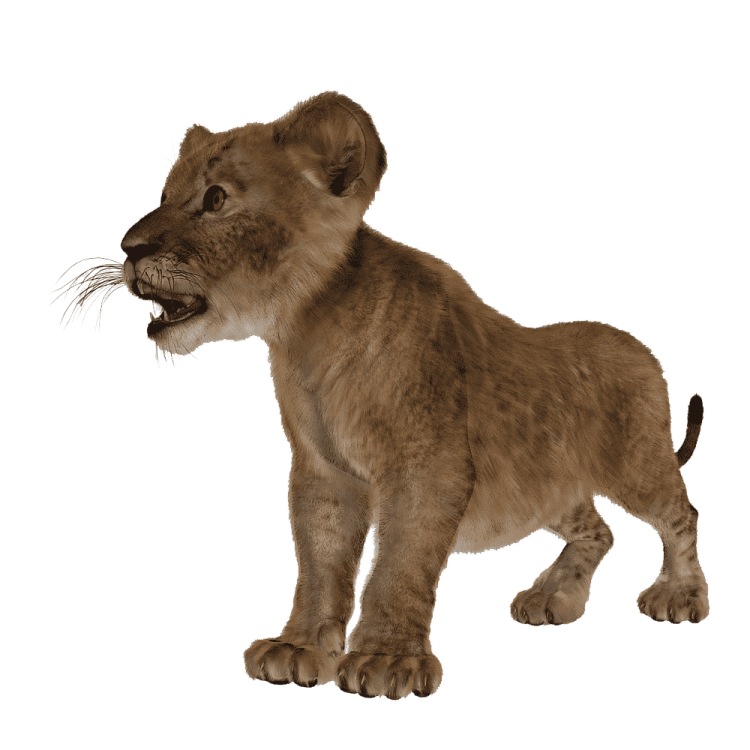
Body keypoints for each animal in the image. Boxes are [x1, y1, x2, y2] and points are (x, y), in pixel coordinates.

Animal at [50, 90, 709, 700]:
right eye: (167, 192)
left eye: (216, 199)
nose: (129, 248)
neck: (308, 334)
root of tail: (640, 348)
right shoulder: (323, 472)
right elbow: (320, 564)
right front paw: (298, 649)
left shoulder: (427, 467)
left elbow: (399, 563)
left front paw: (388, 661)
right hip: (547, 487)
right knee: (599, 529)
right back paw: (553, 597)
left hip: (635, 463)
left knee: (677, 516)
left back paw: (678, 595)